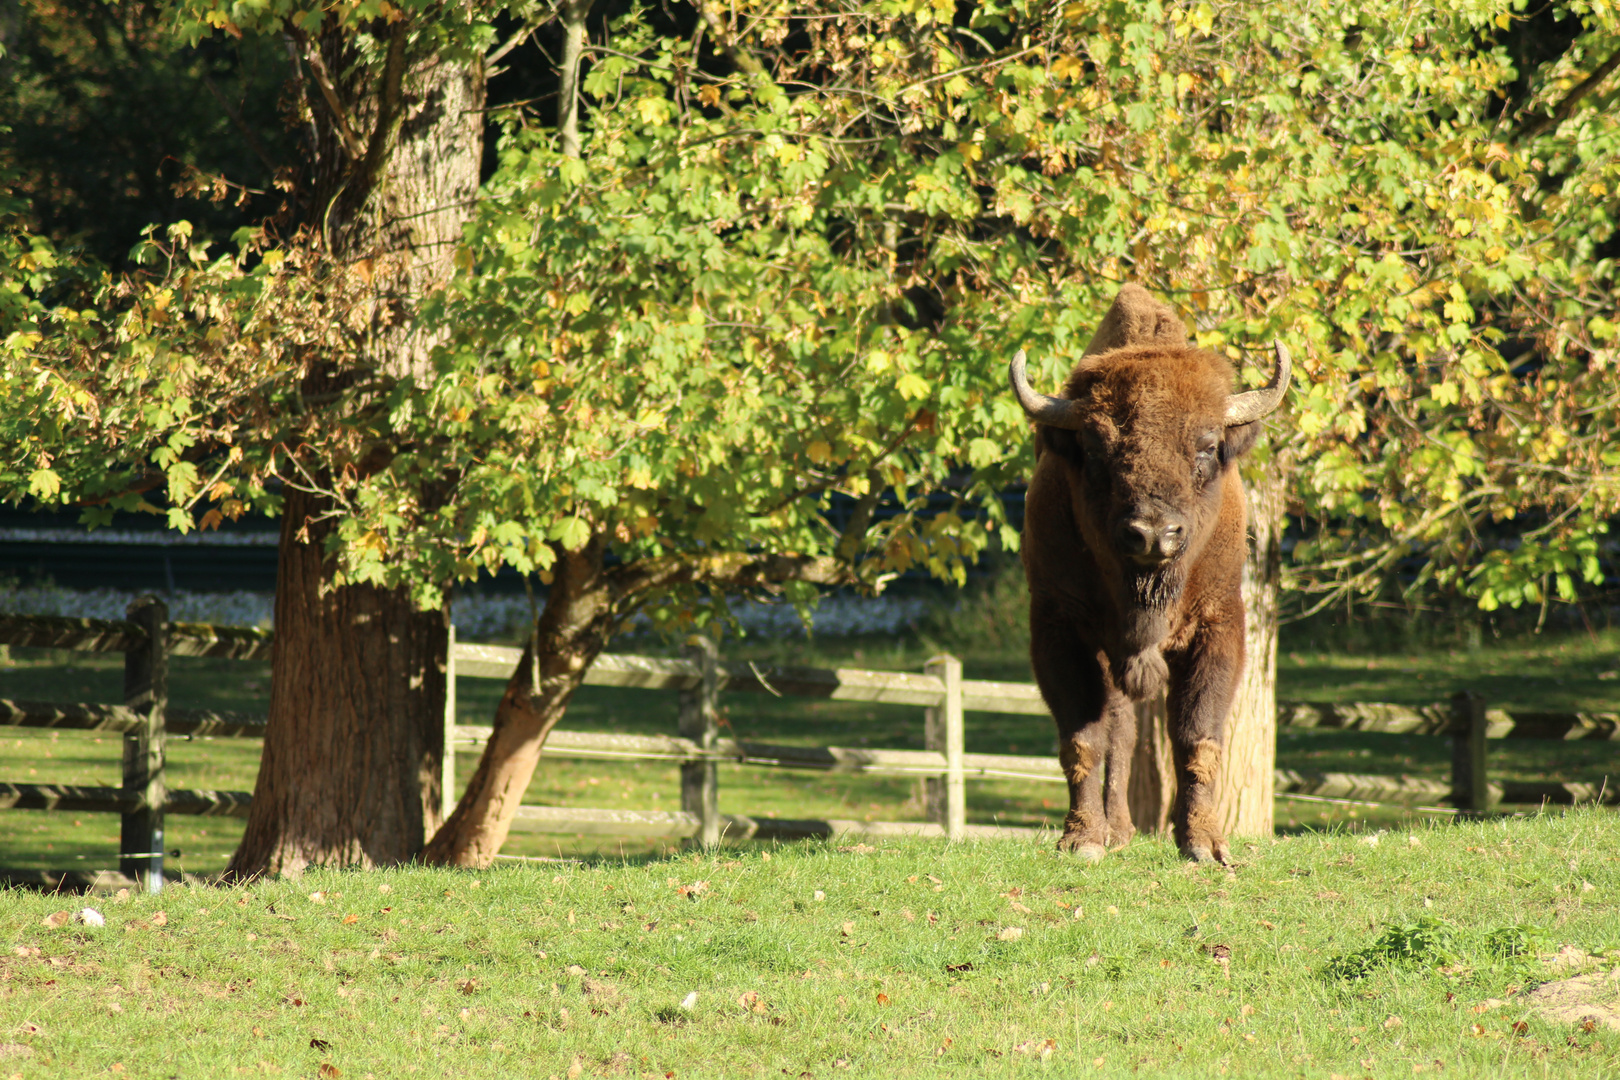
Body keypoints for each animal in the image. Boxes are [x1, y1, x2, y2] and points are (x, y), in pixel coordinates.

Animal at [1010, 283, 1289, 867]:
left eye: (1206, 445)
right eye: (1095, 449)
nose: (1154, 534)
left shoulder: (1219, 624)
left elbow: (1197, 735)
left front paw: (1204, 845)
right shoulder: (1059, 628)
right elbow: (1084, 737)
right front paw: (1082, 840)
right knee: (1118, 732)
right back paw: (1114, 831)